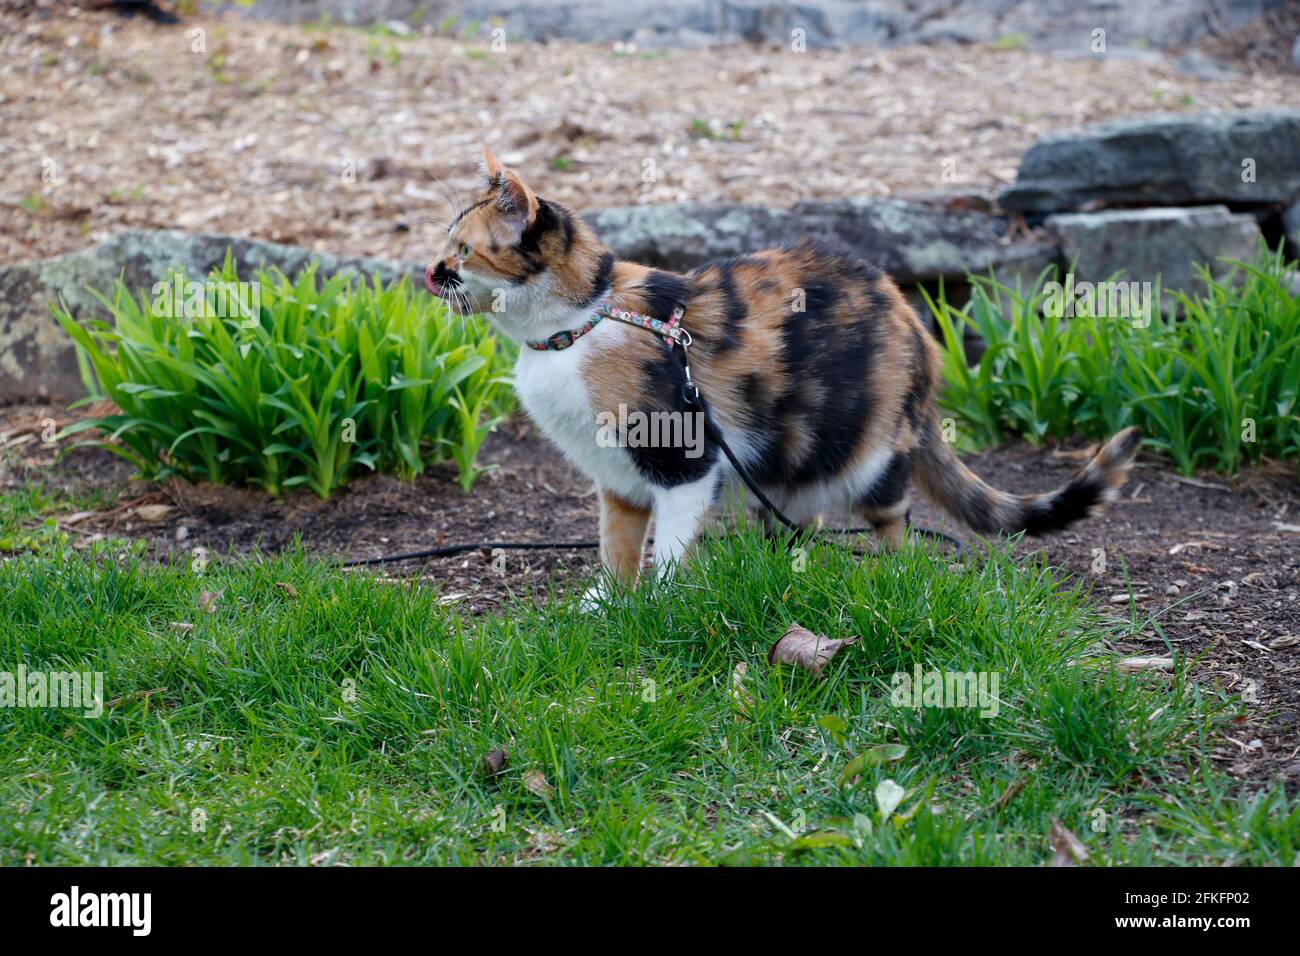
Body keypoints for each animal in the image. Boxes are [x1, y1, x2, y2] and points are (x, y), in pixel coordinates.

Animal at [426, 148, 1138, 595]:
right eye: (445, 246)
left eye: (462, 251)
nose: (429, 272)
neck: (580, 324)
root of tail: (916, 327)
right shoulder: (617, 478)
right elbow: (615, 545)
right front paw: (607, 605)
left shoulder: (683, 455)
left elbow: (670, 544)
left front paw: (658, 604)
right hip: (789, 459)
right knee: (801, 520)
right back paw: (784, 573)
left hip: (873, 452)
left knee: (893, 526)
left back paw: (889, 579)